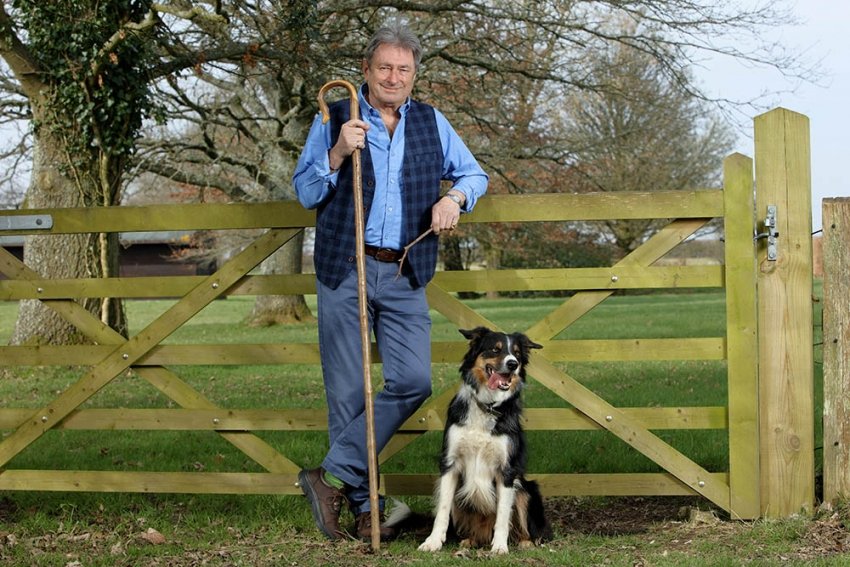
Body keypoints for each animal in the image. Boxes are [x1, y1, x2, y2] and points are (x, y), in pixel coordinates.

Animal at [418, 328, 548, 556]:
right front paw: (433, 542)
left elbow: (503, 514)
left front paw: (500, 547)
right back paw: (469, 541)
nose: (513, 364)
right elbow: (442, 509)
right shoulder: (450, 463)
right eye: (495, 349)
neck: (486, 406)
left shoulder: (507, 470)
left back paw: (524, 542)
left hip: (525, 489)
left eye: (516, 353)